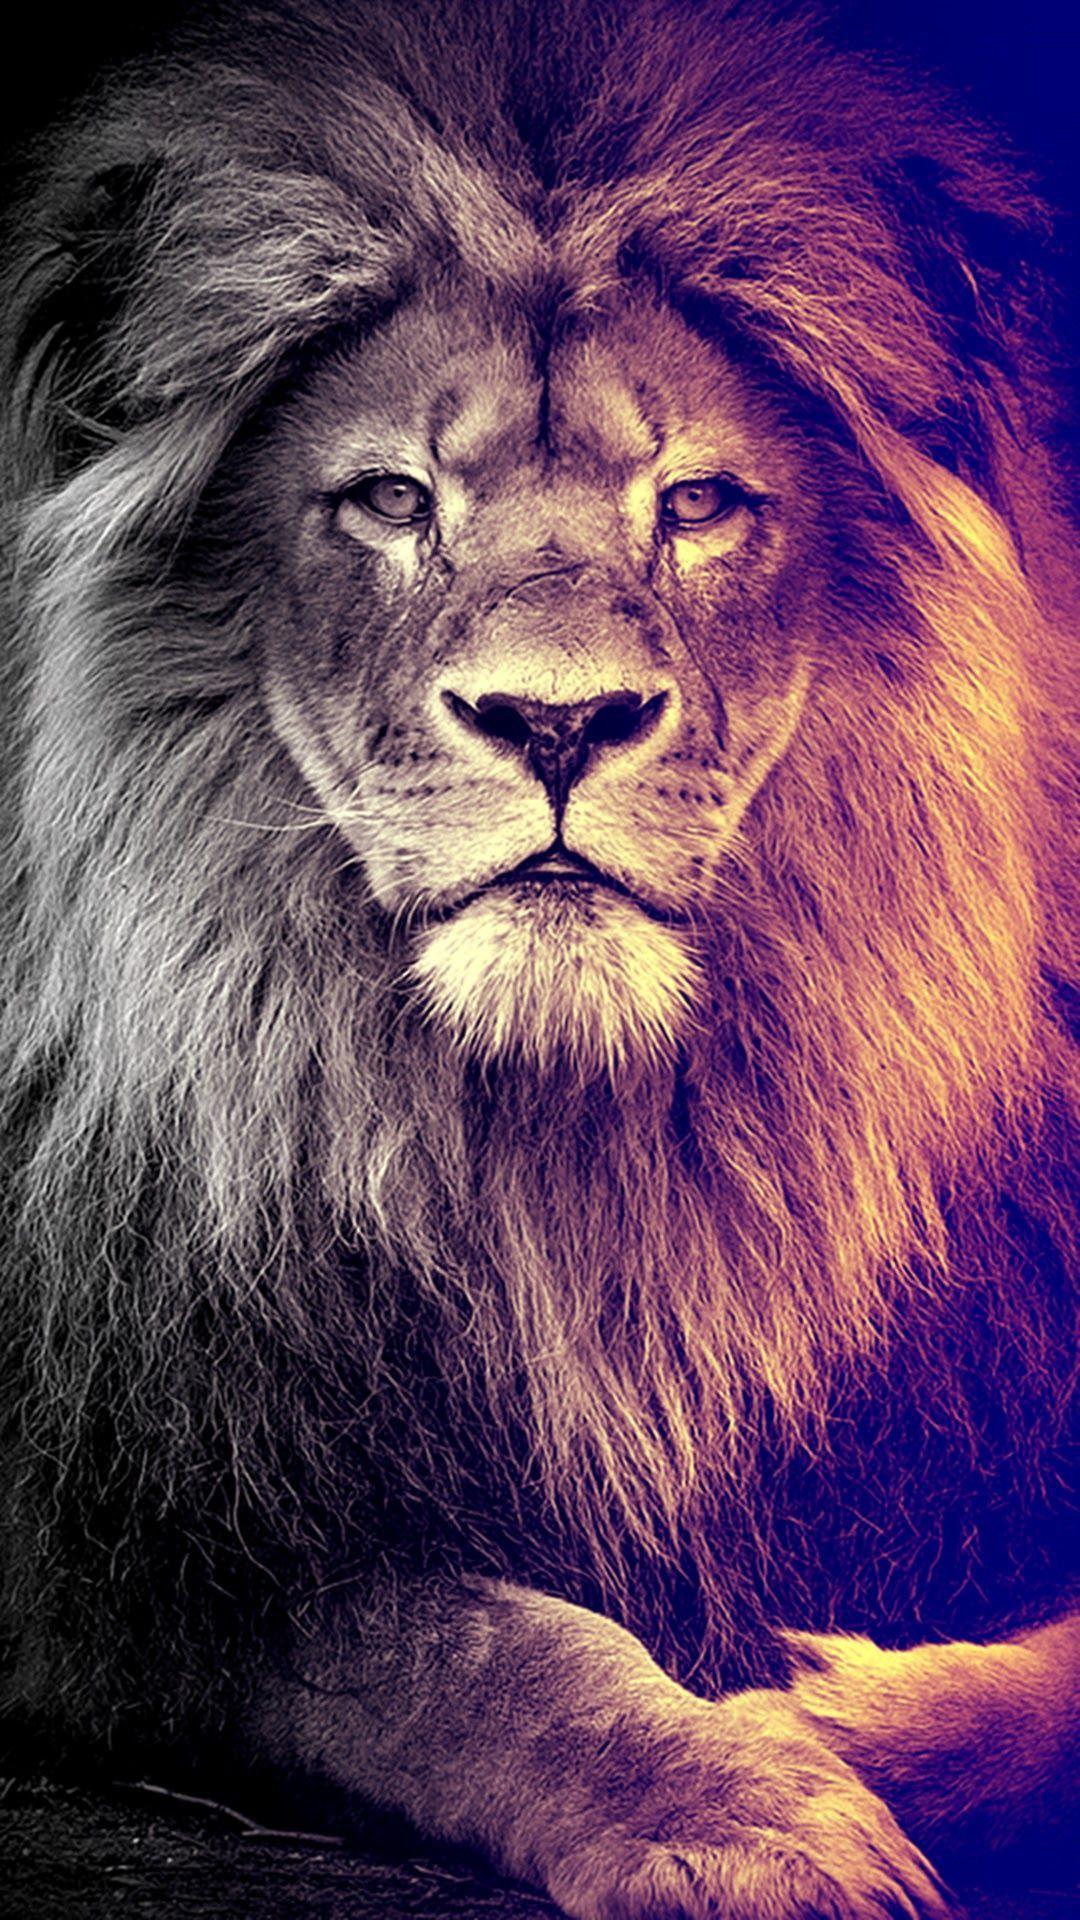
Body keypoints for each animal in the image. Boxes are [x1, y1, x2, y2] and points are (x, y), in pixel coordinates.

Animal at [1, 1, 1077, 1915]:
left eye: (703, 502)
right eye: (387, 500)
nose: (557, 719)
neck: (562, 1155)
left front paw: (845, 1720)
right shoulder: (143, 1534)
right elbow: (465, 1644)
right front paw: (742, 1805)